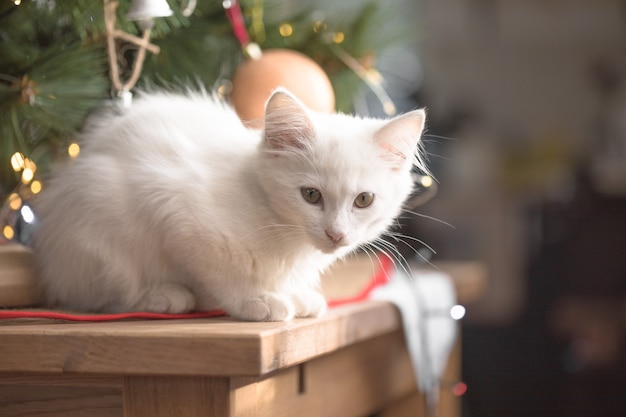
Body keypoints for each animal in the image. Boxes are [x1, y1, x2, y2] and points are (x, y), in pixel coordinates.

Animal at [31, 88, 426, 320]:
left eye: (364, 200)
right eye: (311, 195)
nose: (336, 234)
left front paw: (294, 293)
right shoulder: (174, 208)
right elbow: (223, 272)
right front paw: (256, 300)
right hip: (99, 219)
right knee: (100, 297)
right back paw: (163, 296)